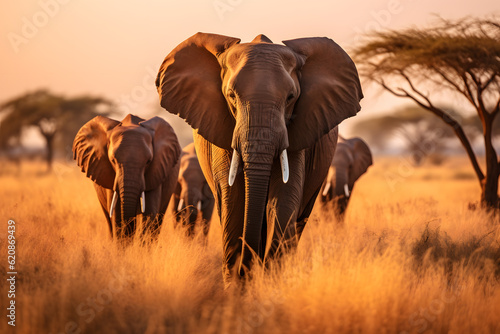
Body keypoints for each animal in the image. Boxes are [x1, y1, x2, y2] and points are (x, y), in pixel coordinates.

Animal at [154, 32, 362, 284]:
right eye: (231, 96)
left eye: (291, 97)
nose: (247, 268)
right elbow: (233, 201)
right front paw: (237, 286)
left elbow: (283, 201)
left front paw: (270, 284)